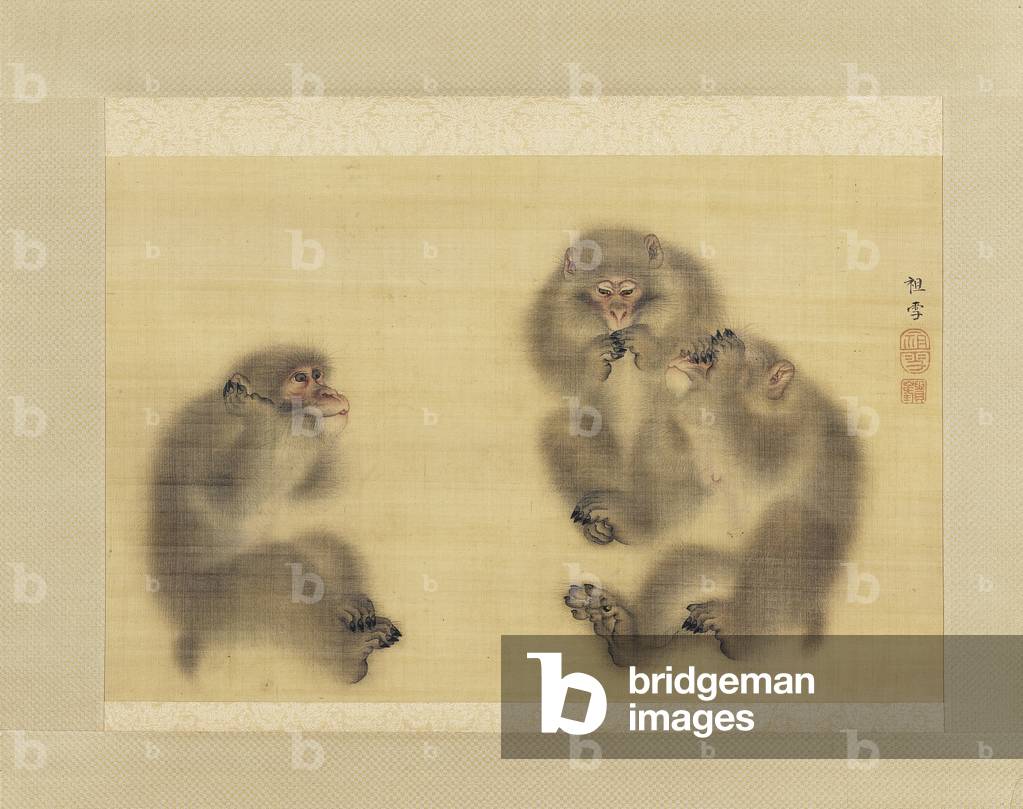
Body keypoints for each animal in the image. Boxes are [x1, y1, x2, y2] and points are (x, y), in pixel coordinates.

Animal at [149, 344, 401, 683]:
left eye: (317, 375)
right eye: (300, 379)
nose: (330, 392)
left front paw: (347, 597)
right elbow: (223, 504)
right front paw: (254, 412)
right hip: (206, 605)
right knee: (269, 576)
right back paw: (348, 659)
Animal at [528, 228, 723, 545]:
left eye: (628, 291)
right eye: (604, 292)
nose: (618, 312)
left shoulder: (692, 288)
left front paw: (652, 348)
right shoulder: (553, 307)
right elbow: (551, 366)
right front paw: (592, 361)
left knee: (665, 429)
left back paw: (641, 521)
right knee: (566, 426)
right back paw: (602, 523)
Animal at [564, 329, 862, 662]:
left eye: (707, 358)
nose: (689, 355)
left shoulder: (795, 427)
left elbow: (760, 469)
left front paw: (727, 371)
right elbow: (685, 476)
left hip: (793, 595)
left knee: (793, 519)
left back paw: (739, 628)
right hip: (719, 570)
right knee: (685, 565)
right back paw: (625, 636)